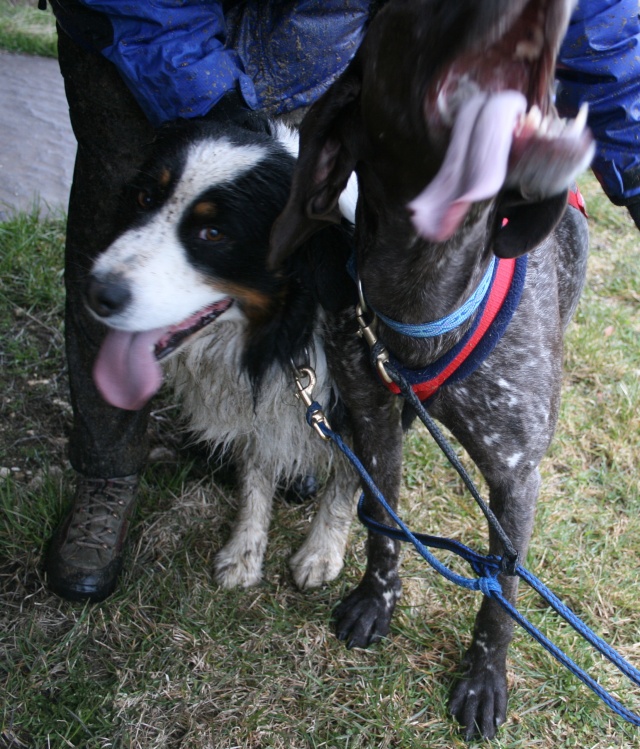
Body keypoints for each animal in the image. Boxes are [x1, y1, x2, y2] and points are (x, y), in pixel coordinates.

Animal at [85, 118, 360, 592]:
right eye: (144, 198)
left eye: (214, 234)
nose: (97, 292)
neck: (286, 331)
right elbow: (255, 475)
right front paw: (243, 554)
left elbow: (346, 481)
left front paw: (320, 554)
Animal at [272, 0, 596, 736]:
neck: (427, 287)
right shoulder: (374, 416)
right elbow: (383, 523)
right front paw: (376, 601)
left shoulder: (516, 475)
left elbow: (500, 589)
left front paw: (483, 681)